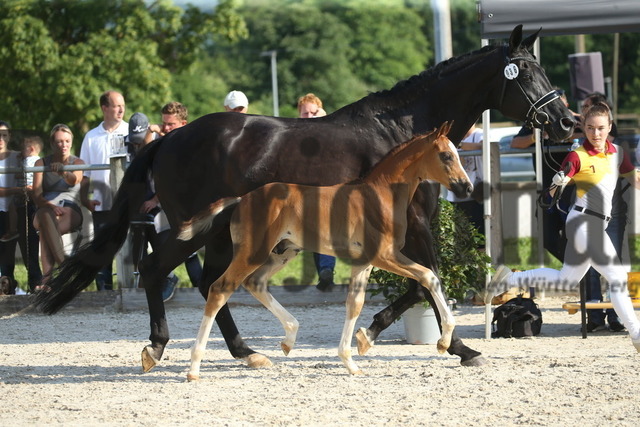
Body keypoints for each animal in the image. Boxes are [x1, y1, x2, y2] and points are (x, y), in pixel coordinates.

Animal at [178, 121, 472, 382]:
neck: (381, 196)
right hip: (253, 252)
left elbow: (354, 304)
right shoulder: (384, 256)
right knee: (220, 289)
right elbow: (429, 277)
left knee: (255, 283)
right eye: (446, 155)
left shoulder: (364, 262)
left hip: (284, 251)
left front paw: (351, 361)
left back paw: (289, 338)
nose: (466, 187)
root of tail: (242, 199)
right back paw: (194, 368)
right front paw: (443, 342)